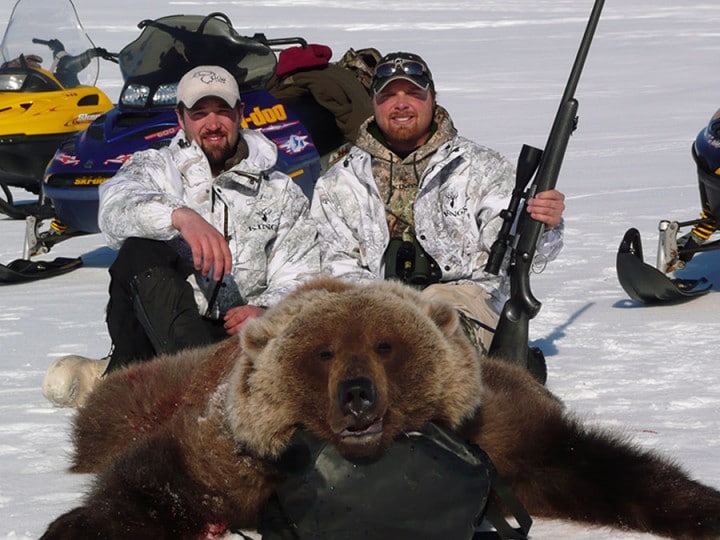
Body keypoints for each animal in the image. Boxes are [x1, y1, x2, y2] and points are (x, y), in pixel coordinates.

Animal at [42, 278, 720, 540]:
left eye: (385, 345)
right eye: (322, 352)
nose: (358, 394)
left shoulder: (500, 433)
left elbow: (584, 462)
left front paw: (702, 507)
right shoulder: (230, 451)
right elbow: (156, 482)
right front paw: (70, 525)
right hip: (147, 390)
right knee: (108, 415)